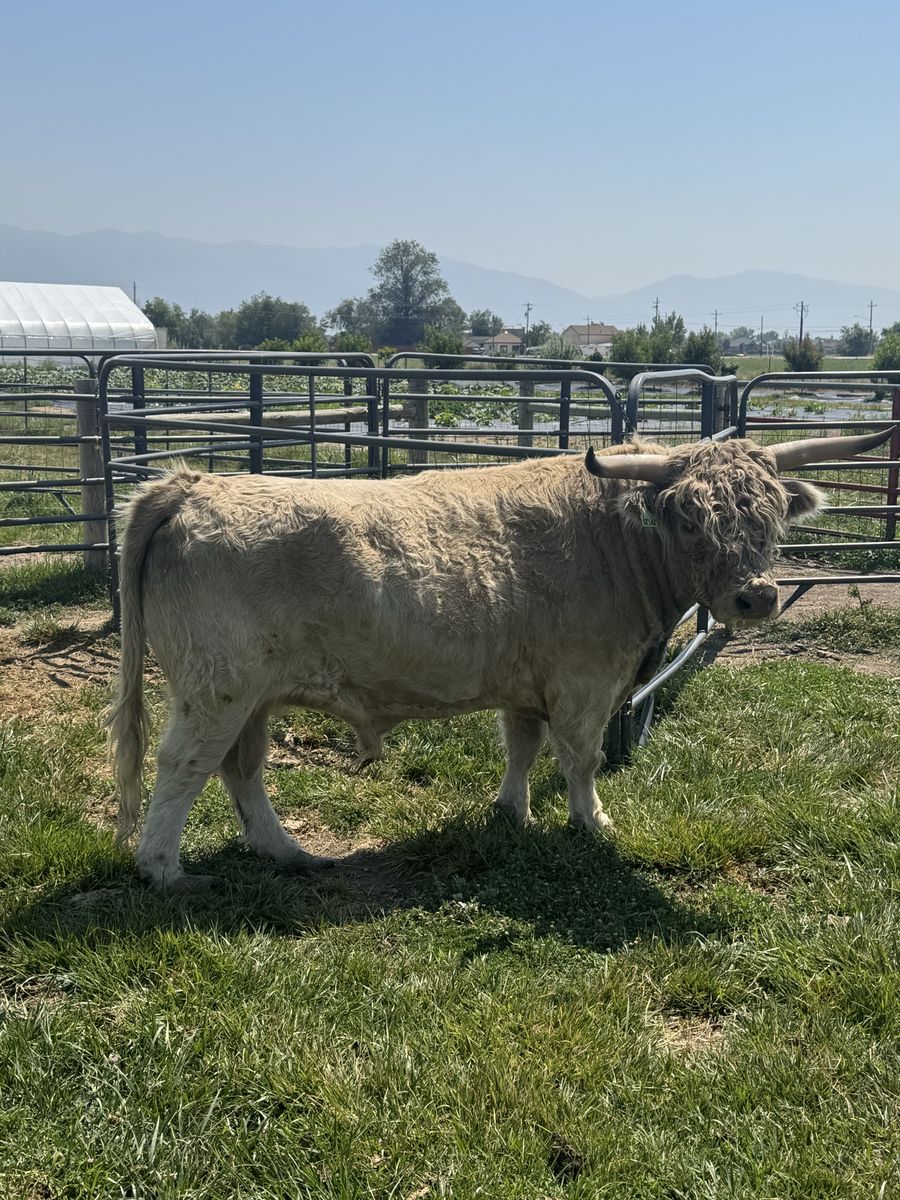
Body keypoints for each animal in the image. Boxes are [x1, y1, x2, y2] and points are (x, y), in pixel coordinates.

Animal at [108, 427, 895, 890]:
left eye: (770, 512)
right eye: (691, 518)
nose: (755, 597)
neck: (613, 540)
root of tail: (196, 484)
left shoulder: (528, 684)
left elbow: (522, 745)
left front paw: (512, 812)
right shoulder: (585, 683)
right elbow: (580, 758)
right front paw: (592, 821)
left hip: (253, 697)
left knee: (241, 770)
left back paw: (287, 853)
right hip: (217, 688)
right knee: (184, 766)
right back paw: (164, 869)